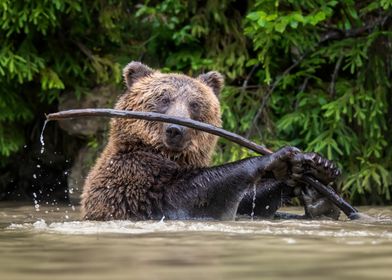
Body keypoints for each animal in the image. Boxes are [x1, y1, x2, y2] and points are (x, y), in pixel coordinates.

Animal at [80, 61, 340, 221]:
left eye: (195, 104)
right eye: (163, 98)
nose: (176, 129)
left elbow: (249, 200)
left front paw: (317, 168)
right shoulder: (135, 180)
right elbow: (192, 195)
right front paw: (276, 157)